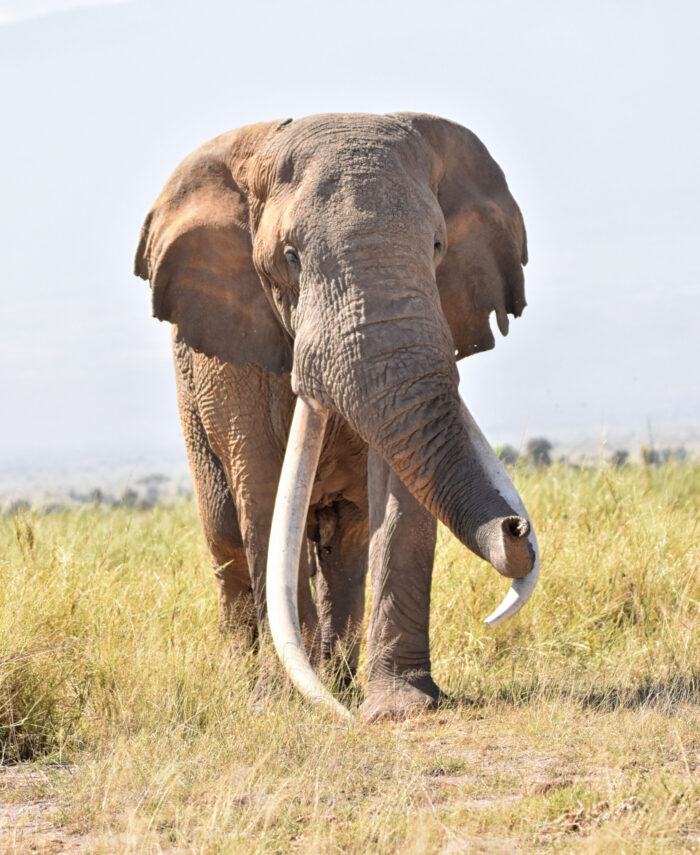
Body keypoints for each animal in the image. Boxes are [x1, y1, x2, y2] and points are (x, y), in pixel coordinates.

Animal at [137, 112, 540, 724]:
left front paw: (398, 709)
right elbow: (262, 491)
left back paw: (339, 681)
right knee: (227, 538)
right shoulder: (236, 352)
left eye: (438, 245)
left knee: (344, 540)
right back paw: (251, 681)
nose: (516, 527)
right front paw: (286, 705)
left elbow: (400, 488)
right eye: (291, 257)